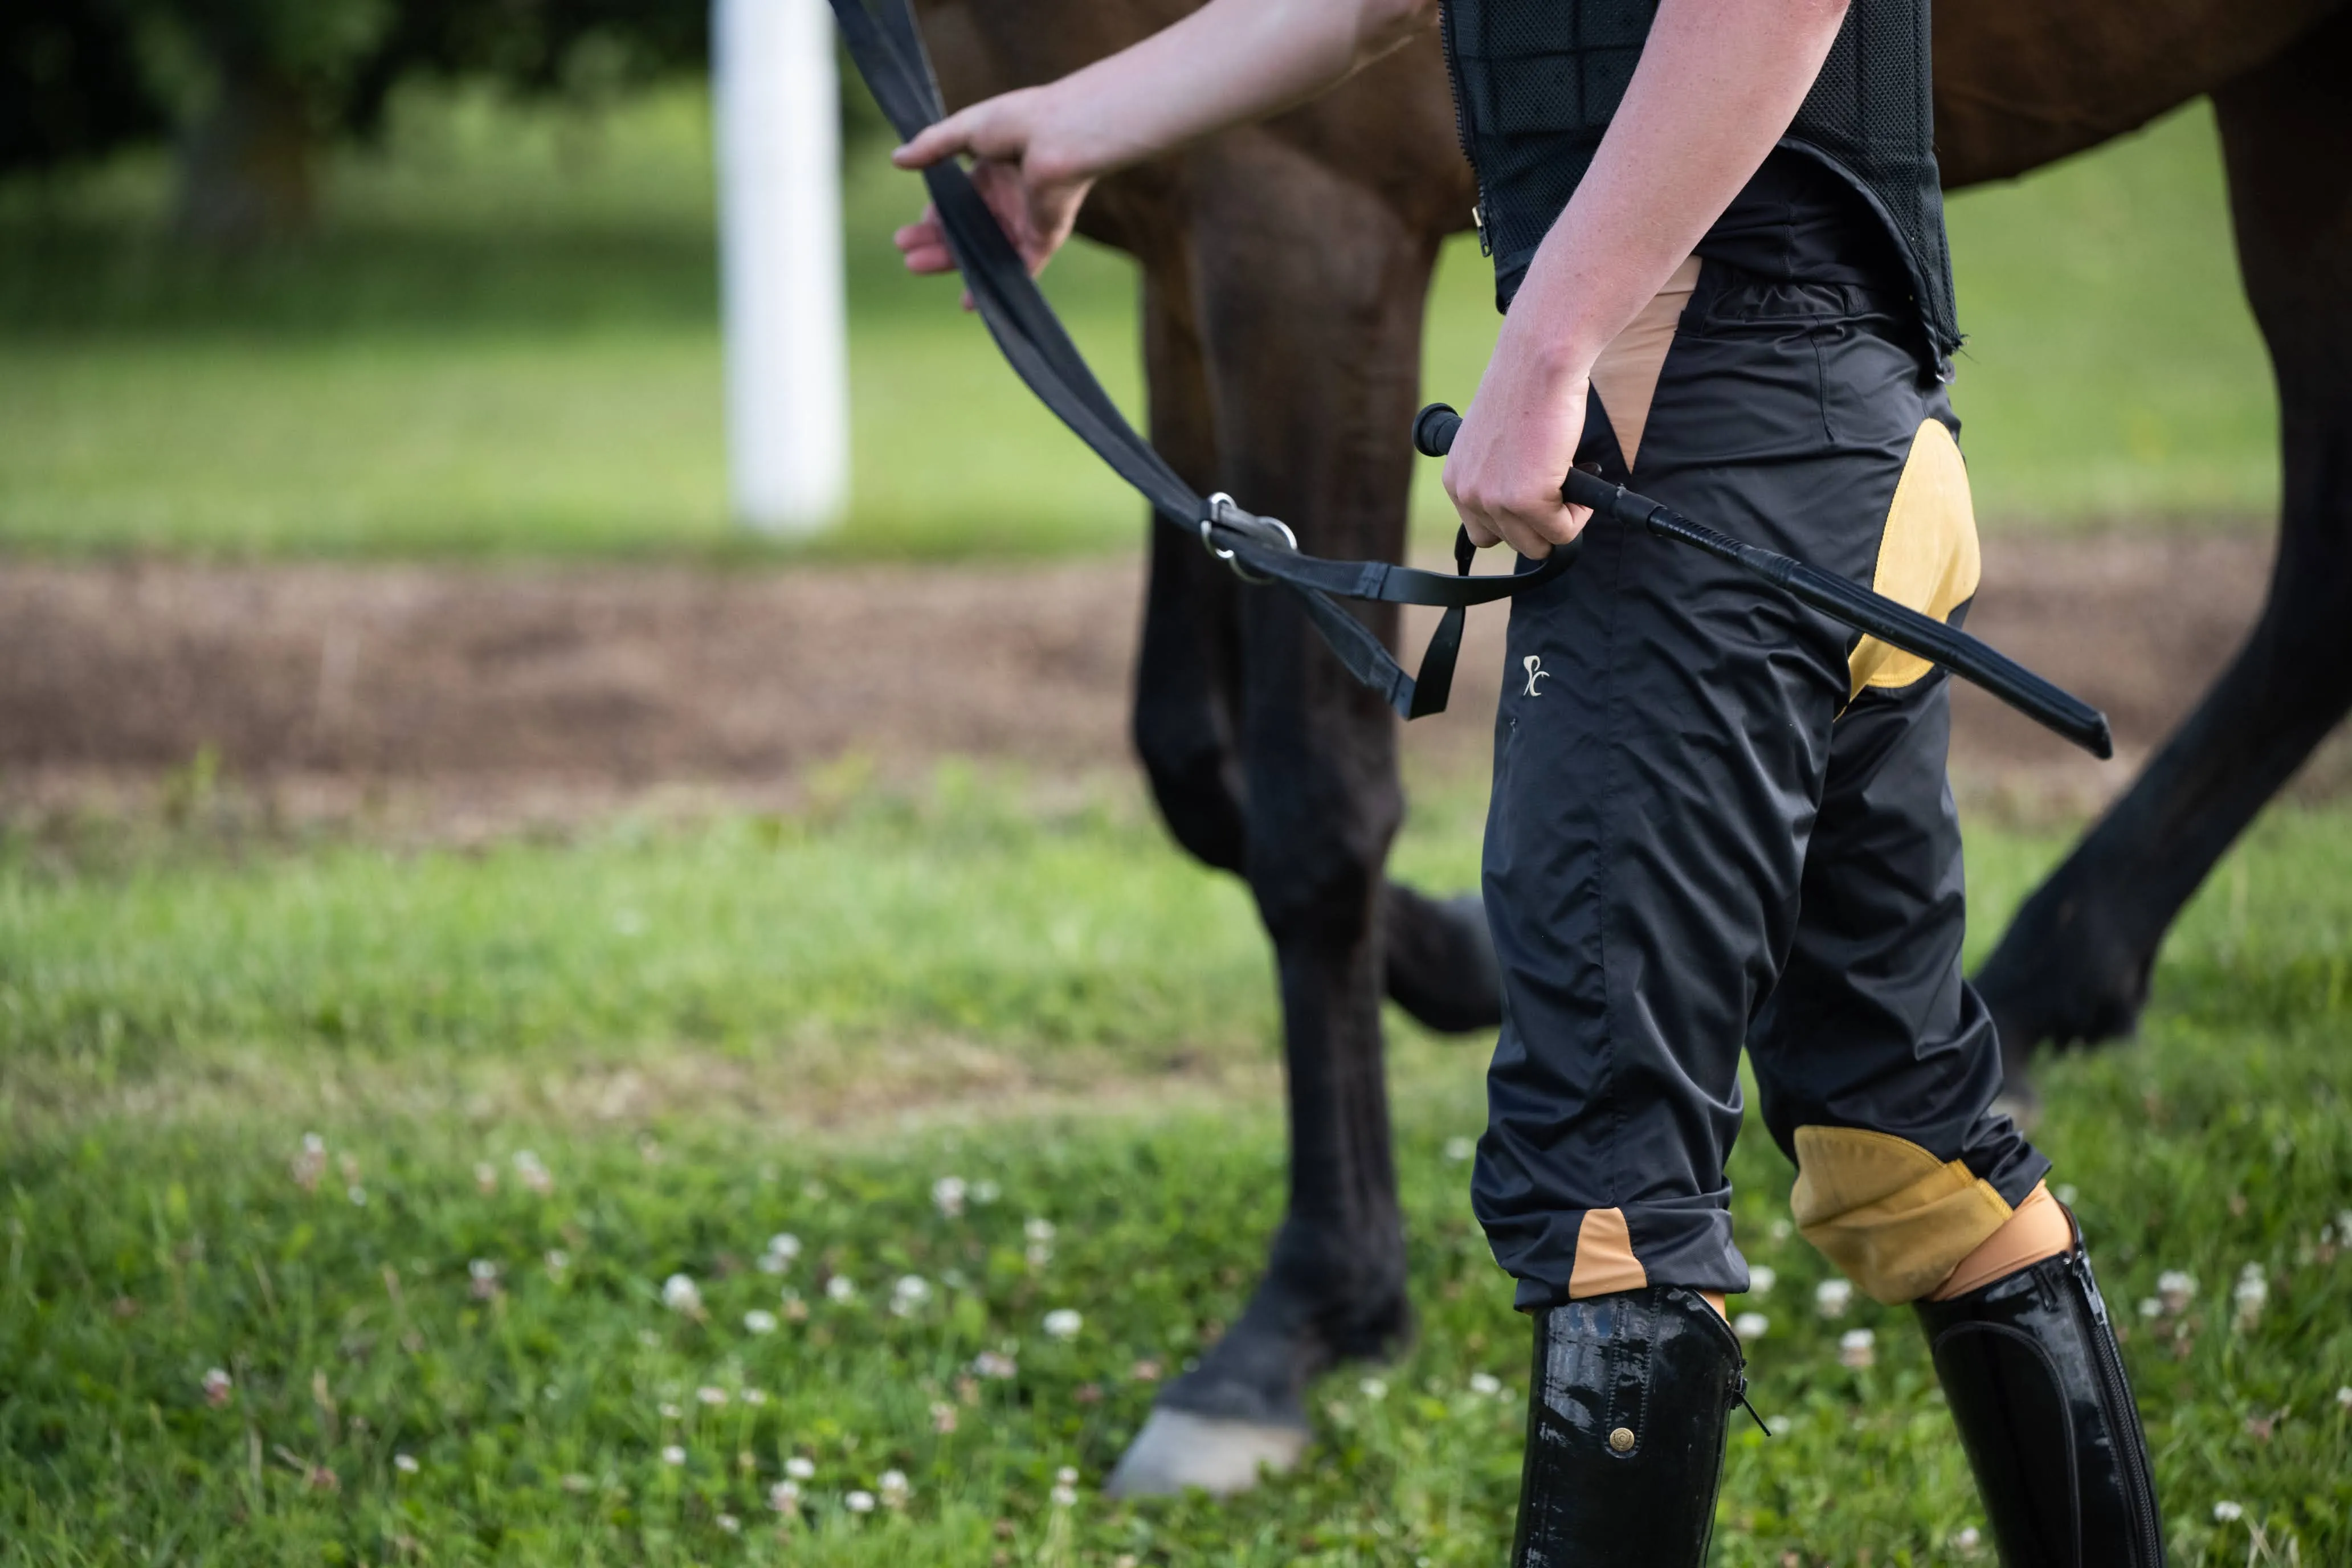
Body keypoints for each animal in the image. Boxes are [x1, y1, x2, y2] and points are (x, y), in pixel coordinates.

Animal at [898, 0, 2352, 1495]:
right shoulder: (1179, 262)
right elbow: (1193, 753)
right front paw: (1456, 959)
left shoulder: (1303, 219)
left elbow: (1309, 811)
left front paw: (1305, 1314)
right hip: (2291, 99)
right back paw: (2051, 983)